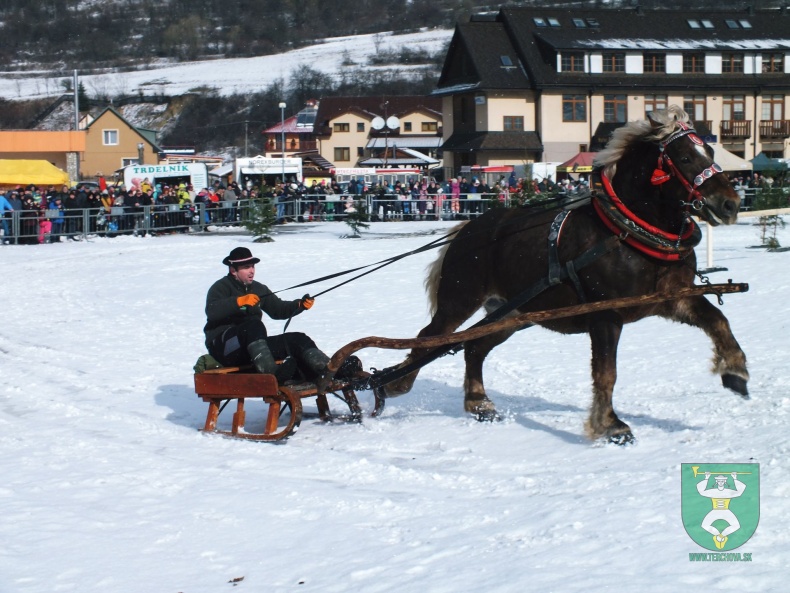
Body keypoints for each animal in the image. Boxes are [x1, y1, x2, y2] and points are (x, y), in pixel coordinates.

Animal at [380, 105, 752, 444]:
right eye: (685, 158)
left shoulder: (673, 299)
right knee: (429, 337)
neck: (626, 231)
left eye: (711, 152)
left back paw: (479, 403)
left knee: (474, 347)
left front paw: (735, 369)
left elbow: (718, 320)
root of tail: (468, 229)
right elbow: (606, 372)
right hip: (460, 300)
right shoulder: (605, 314)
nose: (730, 204)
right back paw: (394, 383)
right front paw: (610, 426)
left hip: (511, 313)